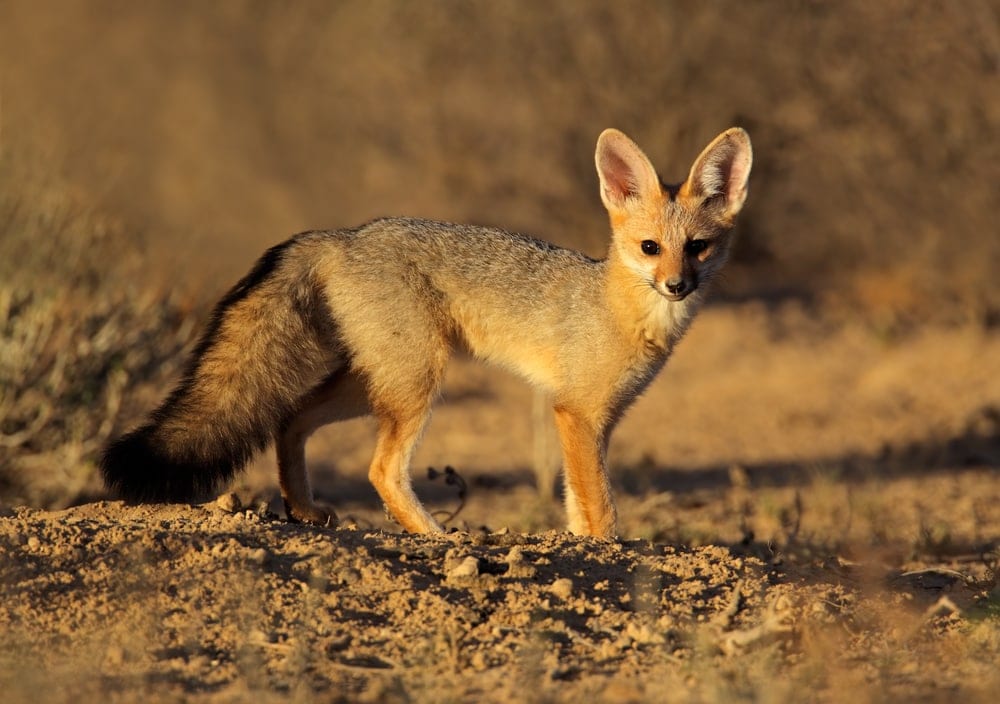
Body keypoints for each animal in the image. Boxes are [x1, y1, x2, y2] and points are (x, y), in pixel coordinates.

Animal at [101, 127, 752, 538]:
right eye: (650, 248)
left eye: (698, 248)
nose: (677, 286)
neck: (617, 308)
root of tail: (343, 234)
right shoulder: (577, 414)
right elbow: (601, 509)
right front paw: (606, 550)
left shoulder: (594, 421)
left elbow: (575, 502)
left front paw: (578, 542)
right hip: (417, 385)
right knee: (380, 470)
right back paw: (437, 537)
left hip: (372, 385)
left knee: (290, 421)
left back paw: (304, 509)